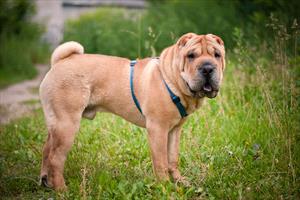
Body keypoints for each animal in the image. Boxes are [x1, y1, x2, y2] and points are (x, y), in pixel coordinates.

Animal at [39, 32, 225, 189]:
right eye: (191, 56)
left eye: (217, 55)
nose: (207, 68)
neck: (171, 79)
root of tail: (59, 62)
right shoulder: (157, 129)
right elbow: (161, 162)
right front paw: (164, 186)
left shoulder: (174, 130)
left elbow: (172, 158)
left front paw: (179, 181)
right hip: (67, 124)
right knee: (56, 158)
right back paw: (62, 189)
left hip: (56, 124)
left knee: (47, 150)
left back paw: (46, 181)